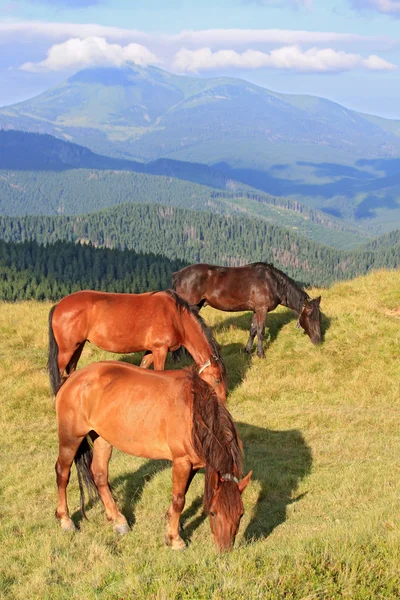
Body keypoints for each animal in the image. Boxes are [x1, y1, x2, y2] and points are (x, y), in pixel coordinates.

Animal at [47, 288, 225, 400]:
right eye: (217, 380)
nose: (223, 400)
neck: (176, 317)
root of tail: (59, 305)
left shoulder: (150, 351)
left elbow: (143, 368)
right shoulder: (160, 350)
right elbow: (159, 372)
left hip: (78, 346)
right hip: (67, 350)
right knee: (60, 373)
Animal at [54, 360, 252, 552]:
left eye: (241, 513)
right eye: (212, 512)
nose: (225, 549)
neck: (195, 412)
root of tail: (72, 378)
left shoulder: (194, 464)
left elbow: (183, 493)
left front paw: (172, 525)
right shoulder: (181, 461)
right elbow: (179, 499)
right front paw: (176, 540)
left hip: (102, 438)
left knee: (100, 475)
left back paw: (118, 520)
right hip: (70, 438)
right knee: (62, 472)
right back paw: (65, 520)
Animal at [172, 262, 322, 356]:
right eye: (310, 315)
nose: (318, 340)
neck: (271, 282)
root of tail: (178, 274)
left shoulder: (256, 310)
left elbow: (253, 330)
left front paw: (248, 350)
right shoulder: (262, 309)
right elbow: (261, 331)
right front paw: (261, 354)